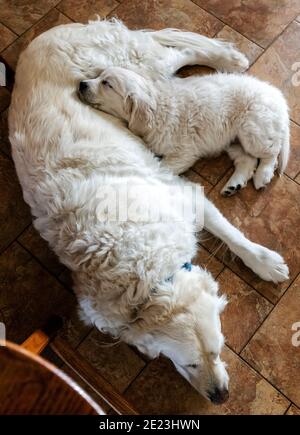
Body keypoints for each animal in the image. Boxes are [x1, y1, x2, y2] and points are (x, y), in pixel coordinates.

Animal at [9, 17, 290, 406]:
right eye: (189, 364)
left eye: (219, 350)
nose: (220, 396)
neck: (144, 272)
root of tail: (49, 34)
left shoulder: (180, 191)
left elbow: (231, 233)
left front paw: (265, 262)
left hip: (141, 64)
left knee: (179, 50)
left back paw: (229, 58)